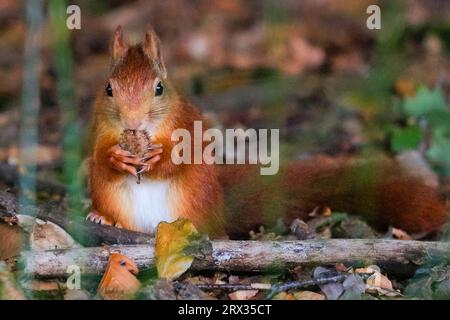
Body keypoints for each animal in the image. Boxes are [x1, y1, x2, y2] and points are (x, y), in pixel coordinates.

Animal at [86, 26, 448, 238]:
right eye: (108, 89)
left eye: (159, 88)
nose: (133, 123)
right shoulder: (100, 128)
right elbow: (98, 154)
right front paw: (117, 157)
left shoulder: (185, 124)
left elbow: (180, 157)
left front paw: (156, 158)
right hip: (107, 194)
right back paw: (105, 219)